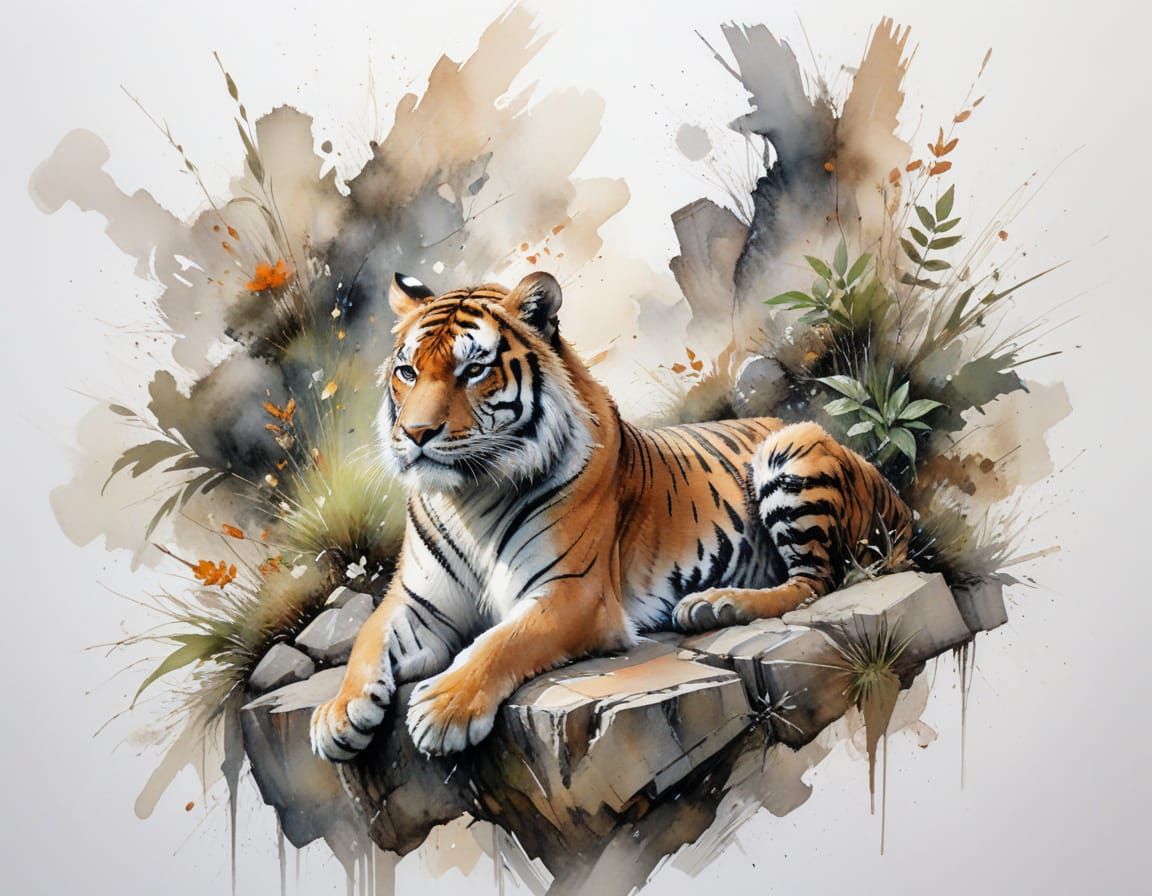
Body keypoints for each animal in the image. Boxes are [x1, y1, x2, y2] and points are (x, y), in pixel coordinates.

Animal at [310, 271, 912, 760]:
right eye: (408, 371)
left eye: (474, 369)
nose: (414, 434)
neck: (466, 498)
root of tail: (897, 500)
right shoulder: (417, 601)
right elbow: (366, 639)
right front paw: (337, 716)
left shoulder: (574, 593)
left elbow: (502, 641)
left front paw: (445, 707)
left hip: (791, 450)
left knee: (815, 581)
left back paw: (717, 603)